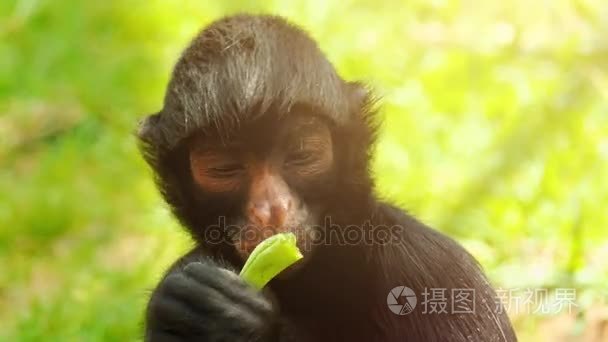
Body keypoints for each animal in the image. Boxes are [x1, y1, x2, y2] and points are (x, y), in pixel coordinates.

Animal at [139, 14, 516, 342]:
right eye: (224, 168)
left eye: (302, 154)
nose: (272, 208)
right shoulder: (185, 269)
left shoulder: (438, 271)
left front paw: (231, 319)